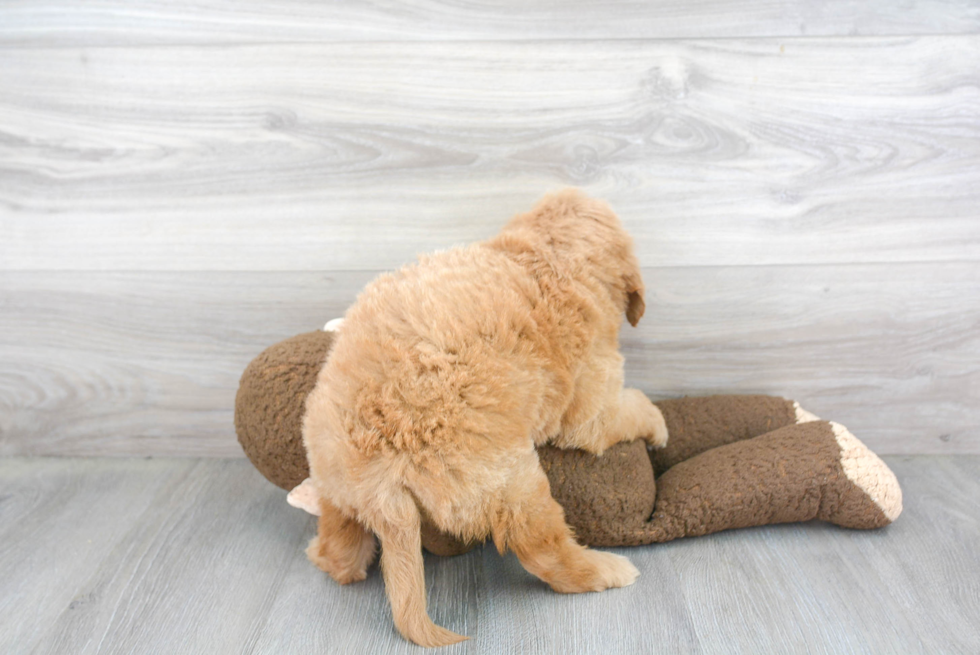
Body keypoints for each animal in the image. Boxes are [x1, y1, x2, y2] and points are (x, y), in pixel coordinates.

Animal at [302, 188, 668, 644]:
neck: (546, 254)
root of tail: (381, 485)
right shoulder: (593, 405)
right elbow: (632, 408)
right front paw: (658, 423)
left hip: (335, 487)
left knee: (341, 548)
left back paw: (324, 556)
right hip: (512, 480)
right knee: (541, 548)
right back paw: (606, 570)